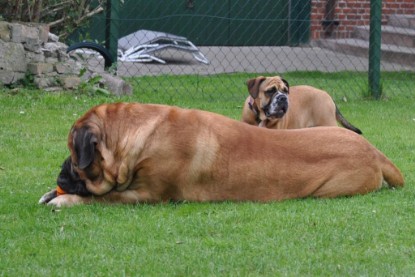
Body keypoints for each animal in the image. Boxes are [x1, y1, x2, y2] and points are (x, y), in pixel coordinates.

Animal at [39, 102, 404, 206]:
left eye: (74, 155)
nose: (60, 175)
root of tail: (375, 151)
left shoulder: (148, 195)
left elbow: (103, 198)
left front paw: (65, 200)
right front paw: (51, 193)